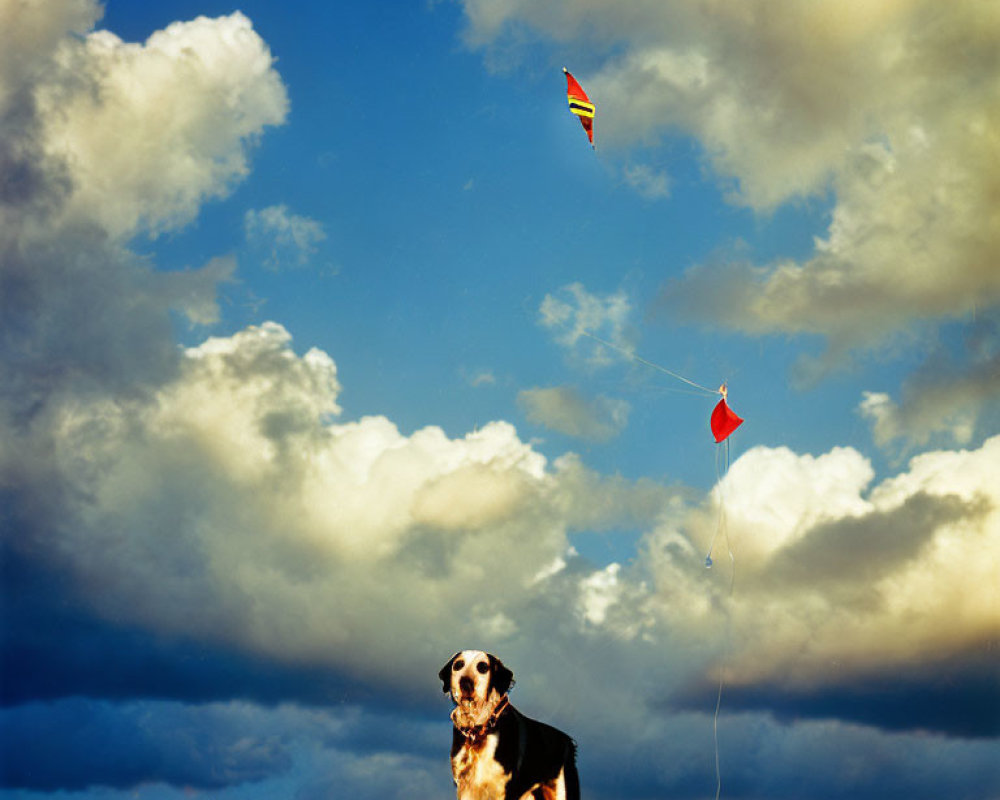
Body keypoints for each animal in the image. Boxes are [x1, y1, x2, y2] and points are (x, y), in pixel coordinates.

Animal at [438, 648, 580, 800]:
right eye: (458, 665)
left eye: (483, 667)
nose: (465, 682)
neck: (479, 731)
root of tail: (569, 741)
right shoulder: (465, 787)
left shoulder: (504, 789)